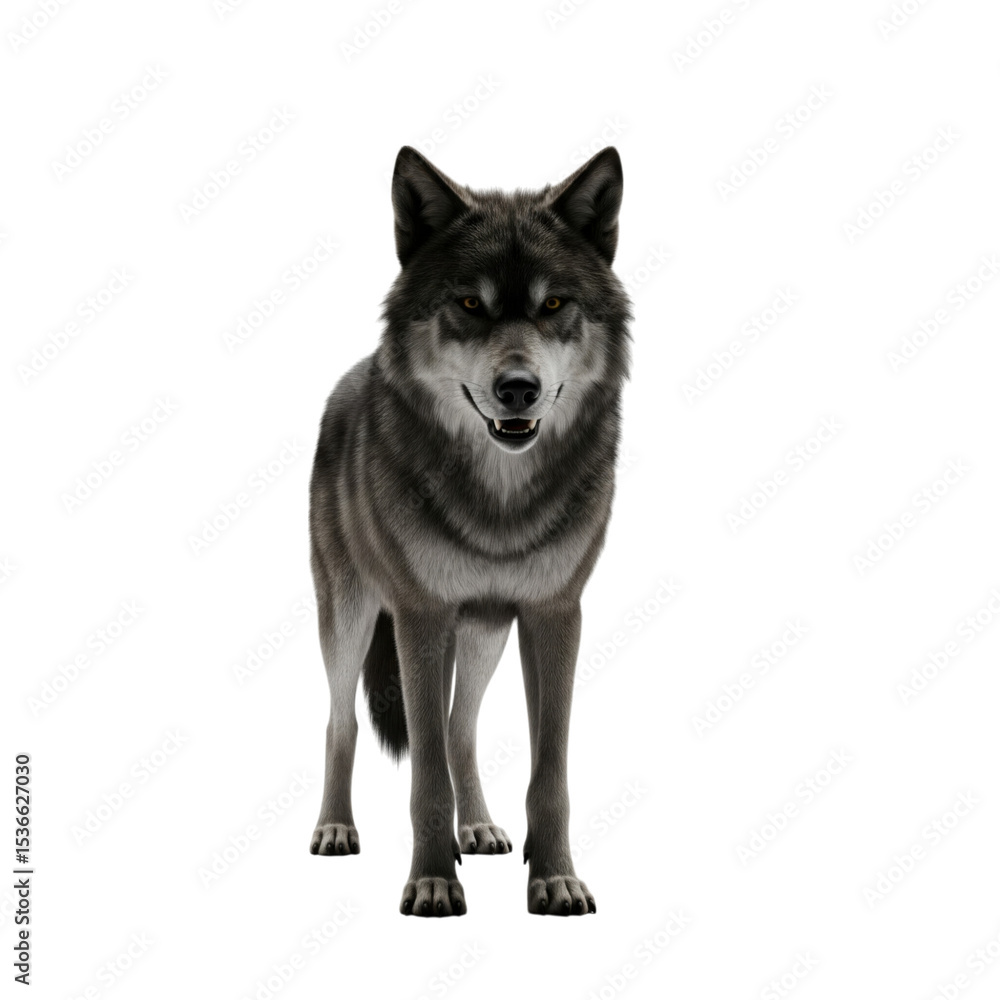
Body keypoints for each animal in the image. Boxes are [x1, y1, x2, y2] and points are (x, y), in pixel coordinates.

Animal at [307, 144, 631, 916]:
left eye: (553, 304)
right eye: (469, 304)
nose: (518, 389)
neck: (501, 505)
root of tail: (351, 377)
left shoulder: (554, 614)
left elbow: (549, 772)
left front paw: (556, 879)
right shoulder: (421, 615)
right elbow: (424, 775)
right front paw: (431, 881)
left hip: (484, 631)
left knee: (461, 727)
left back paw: (479, 827)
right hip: (351, 616)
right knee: (342, 721)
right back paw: (335, 829)